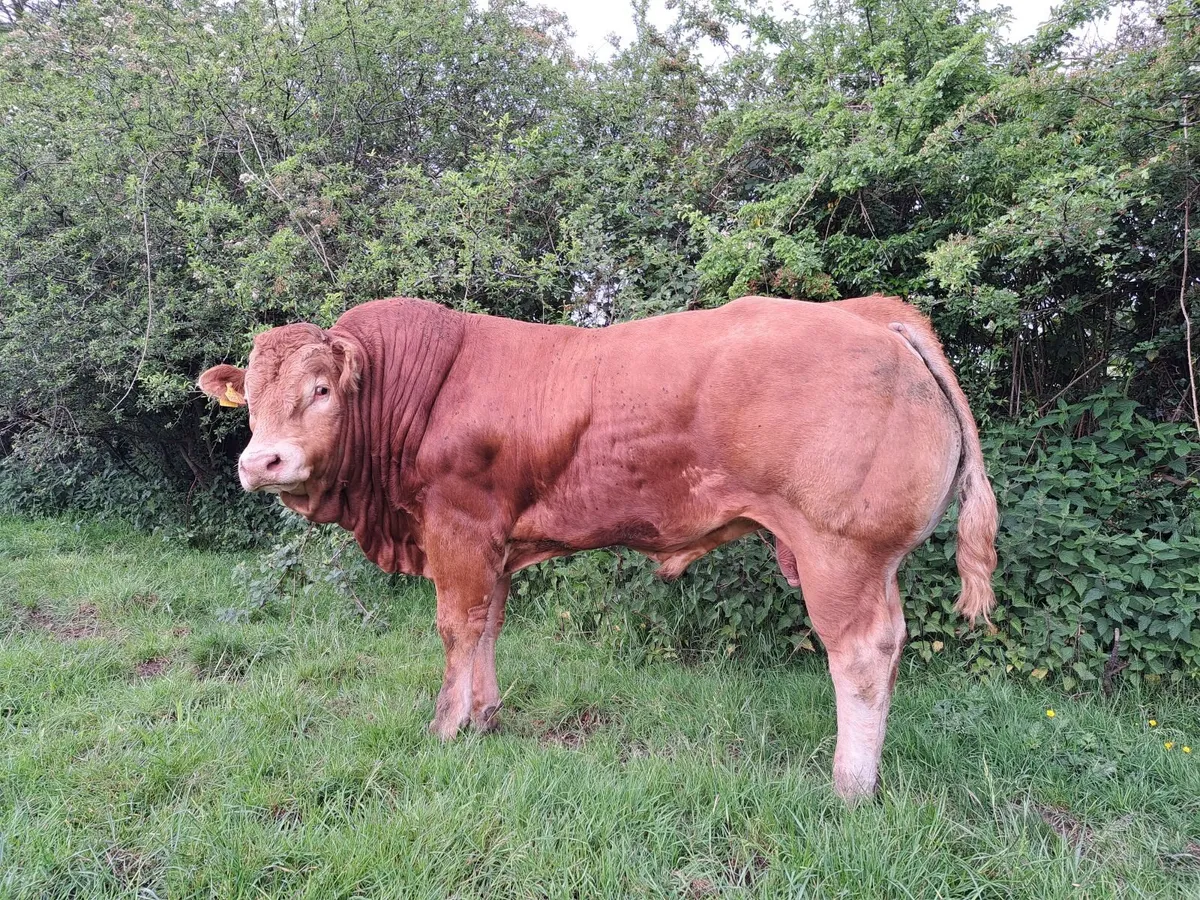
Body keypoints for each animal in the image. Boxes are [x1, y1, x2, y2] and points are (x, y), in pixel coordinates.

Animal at [199, 294, 998, 799]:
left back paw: (850, 788)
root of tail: (871, 313)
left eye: (322, 388)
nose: (261, 462)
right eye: (252, 397)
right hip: (874, 562)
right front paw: (486, 716)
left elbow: (456, 627)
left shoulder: (457, 529)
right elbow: (488, 625)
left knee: (859, 656)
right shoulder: (495, 542)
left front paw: (447, 726)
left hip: (840, 552)